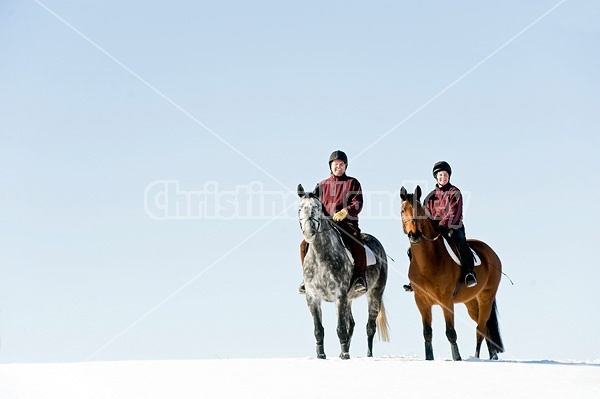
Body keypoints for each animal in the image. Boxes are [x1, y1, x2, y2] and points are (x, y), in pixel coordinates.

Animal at [298, 184, 392, 360]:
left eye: (317, 207)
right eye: (300, 208)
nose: (309, 231)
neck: (321, 256)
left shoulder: (339, 296)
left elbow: (340, 327)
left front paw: (345, 355)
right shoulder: (313, 297)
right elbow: (318, 329)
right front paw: (321, 355)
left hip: (375, 293)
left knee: (370, 326)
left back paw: (367, 355)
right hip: (349, 298)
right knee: (352, 324)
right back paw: (345, 350)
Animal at [400, 186, 504, 360]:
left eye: (420, 210)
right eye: (402, 210)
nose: (414, 235)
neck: (427, 262)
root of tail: (492, 254)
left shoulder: (446, 301)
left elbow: (450, 332)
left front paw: (457, 358)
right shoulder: (421, 301)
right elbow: (427, 332)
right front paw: (429, 358)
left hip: (486, 298)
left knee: (481, 329)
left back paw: (479, 357)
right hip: (471, 303)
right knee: (486, 328)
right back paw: (492, 356)